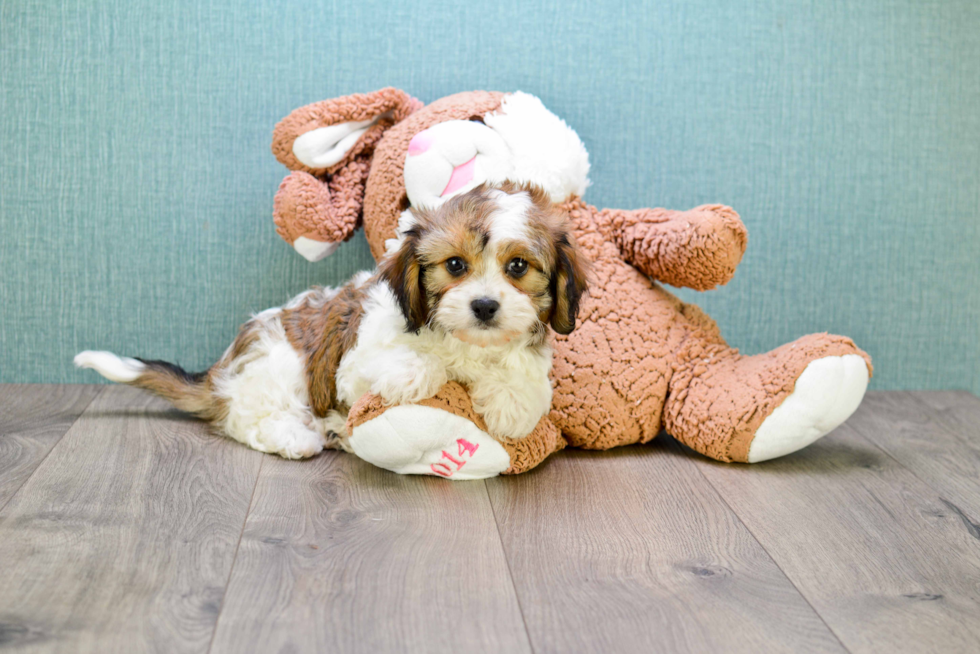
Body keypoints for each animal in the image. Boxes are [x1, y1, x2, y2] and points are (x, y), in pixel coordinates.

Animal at [74, 182, 588, 462]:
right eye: (455, 265)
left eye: (518, 267)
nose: (484, 306)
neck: (467, 347)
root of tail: (221, 372)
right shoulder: (352, 366)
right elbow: (406, 363)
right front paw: (415, 374)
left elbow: (529, 385)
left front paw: (509, 403)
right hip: (281, 364)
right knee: (246, 419)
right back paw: (300, 435)